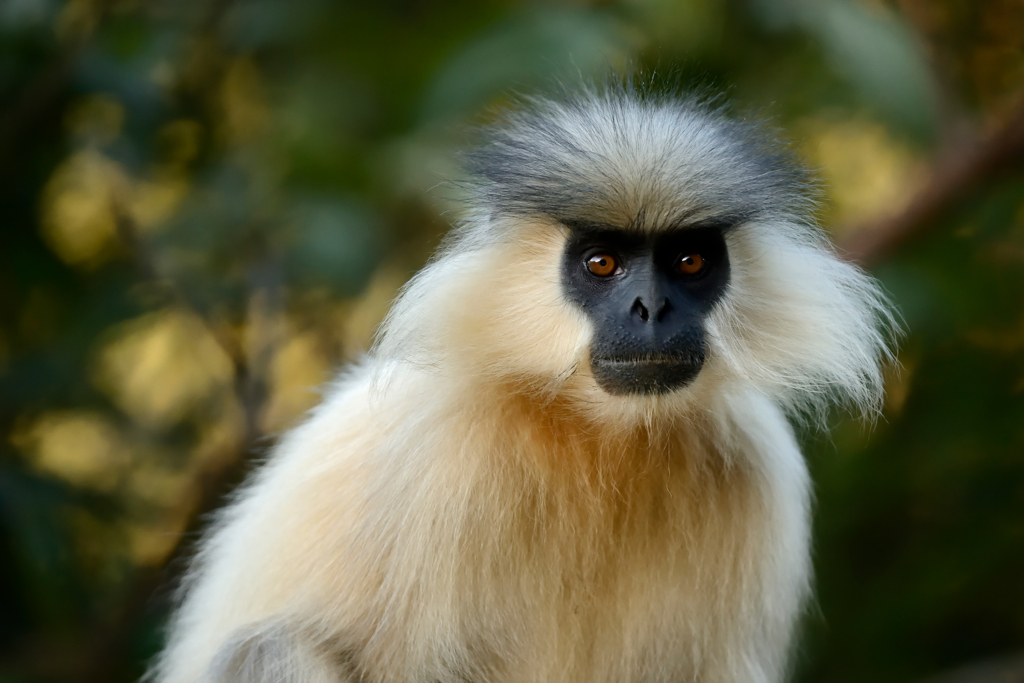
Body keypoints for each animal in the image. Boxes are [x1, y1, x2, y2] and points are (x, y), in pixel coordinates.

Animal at [149, 85, 897, 683]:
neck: (598, 435)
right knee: (270, 647)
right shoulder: (448, 455)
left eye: (688, 261)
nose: (651, 309)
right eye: (601, 263)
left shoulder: (755, 466)